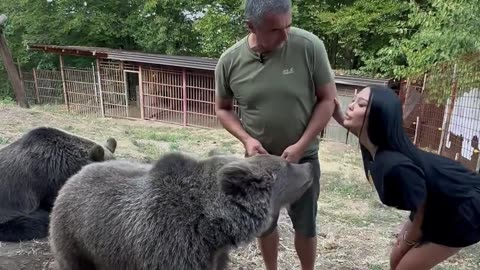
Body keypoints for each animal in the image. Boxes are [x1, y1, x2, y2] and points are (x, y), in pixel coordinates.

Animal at [48, 152, 316, 270]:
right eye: (287, 164)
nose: (309, 166)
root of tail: (73, 176)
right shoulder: (170, 247)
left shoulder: (214, 257)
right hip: (76, 241)